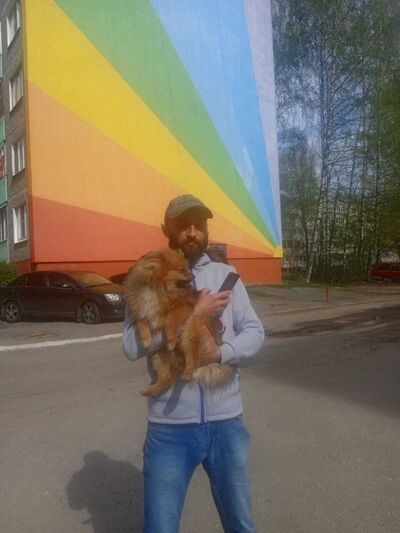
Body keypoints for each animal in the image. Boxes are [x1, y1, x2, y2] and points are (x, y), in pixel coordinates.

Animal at [124, 248, 234, 396]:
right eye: (181, 269)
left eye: (186, 268)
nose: (193, 277)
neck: (158, 288)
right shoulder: (141, 311)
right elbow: (141, 323)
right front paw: (146, 340)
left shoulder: (183, 307)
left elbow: (170, 322)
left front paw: (170, 340)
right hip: (159, 355)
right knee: (167, 379)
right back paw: (151, 390)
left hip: (189, 331)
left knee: (192, 358)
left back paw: (187, 373)